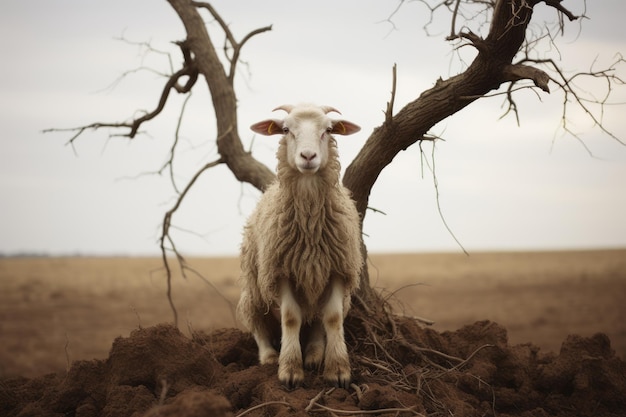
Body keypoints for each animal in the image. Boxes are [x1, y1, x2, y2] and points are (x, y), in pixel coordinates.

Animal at [236, 103, 364, 386]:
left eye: (328, 130)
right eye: (286, 130)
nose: (308, 156)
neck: (310, 226)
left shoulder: (337, 268)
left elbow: (333, 317)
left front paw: (338, 370)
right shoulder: (280, 271)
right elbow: (290, 318)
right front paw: (290, 370)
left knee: (317, 319)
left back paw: (315, 354)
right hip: (254, 290)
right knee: (257, 324)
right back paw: (269, 356)